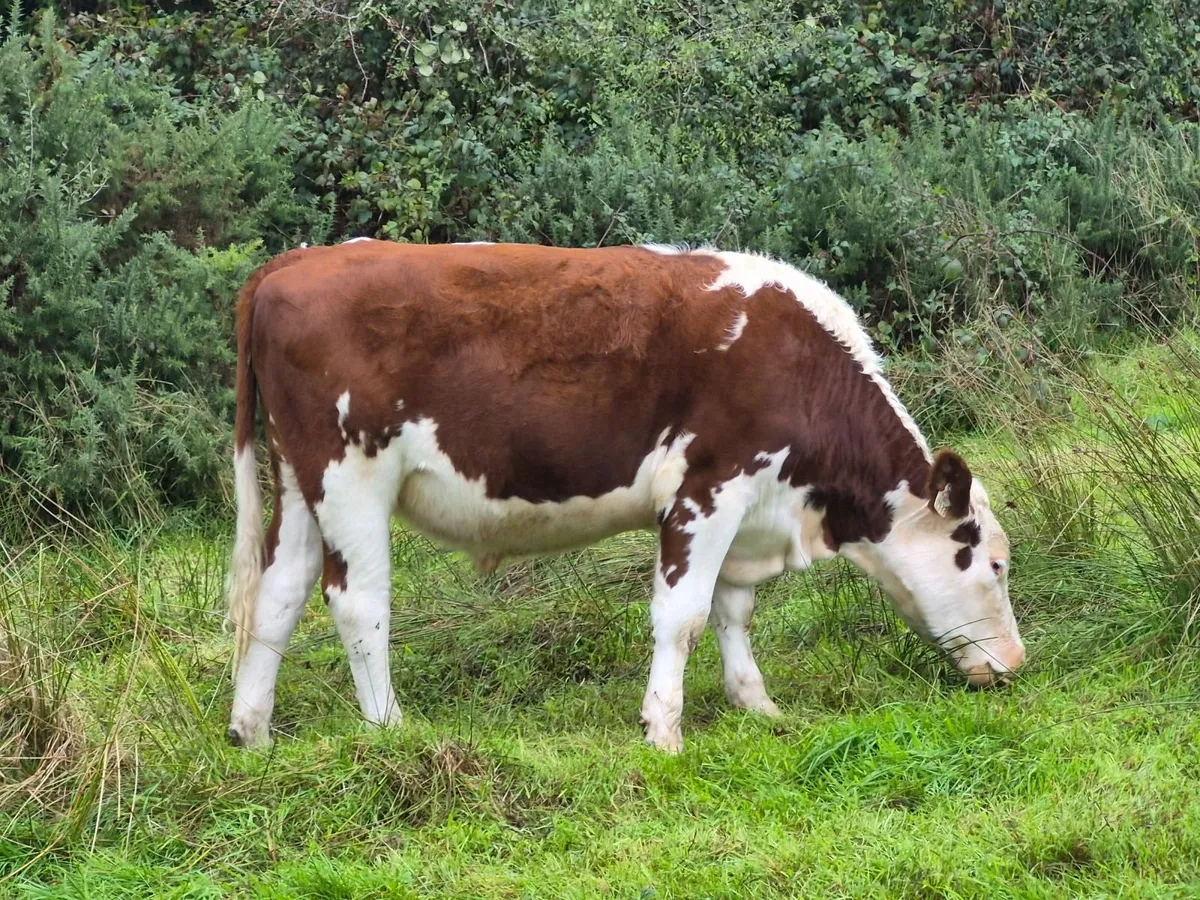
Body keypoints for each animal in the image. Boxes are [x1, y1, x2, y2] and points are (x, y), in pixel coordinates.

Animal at [224, 239, 1025, 752]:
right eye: (992, 564)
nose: (1016, 666)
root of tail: (291, 263)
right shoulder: (710, 489)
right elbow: (683, 616)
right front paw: (662, 731)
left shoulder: (749, 507)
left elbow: (733, 610)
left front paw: (757, 705)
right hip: (350, 476)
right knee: (357, 601)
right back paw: (390, 726)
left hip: (298, 480)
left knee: (278, 593)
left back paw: (251, 734)